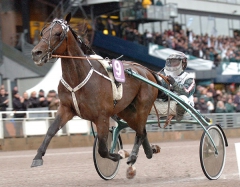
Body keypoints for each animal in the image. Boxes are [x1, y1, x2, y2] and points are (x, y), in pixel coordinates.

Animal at [31, 12, 159, 177]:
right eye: (43, 32)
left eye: (58, 33)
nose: (36, 53)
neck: (78, 77)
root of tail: (147, 71)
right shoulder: (66, 108)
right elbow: (50, 131)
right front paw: (38, 157)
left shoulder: (102, 116)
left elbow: (103, 149)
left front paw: (118, 155)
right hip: (126, 110)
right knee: (141, 130)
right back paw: (148, 152)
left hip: (143, 105)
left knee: (140, 131)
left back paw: (132, 157)